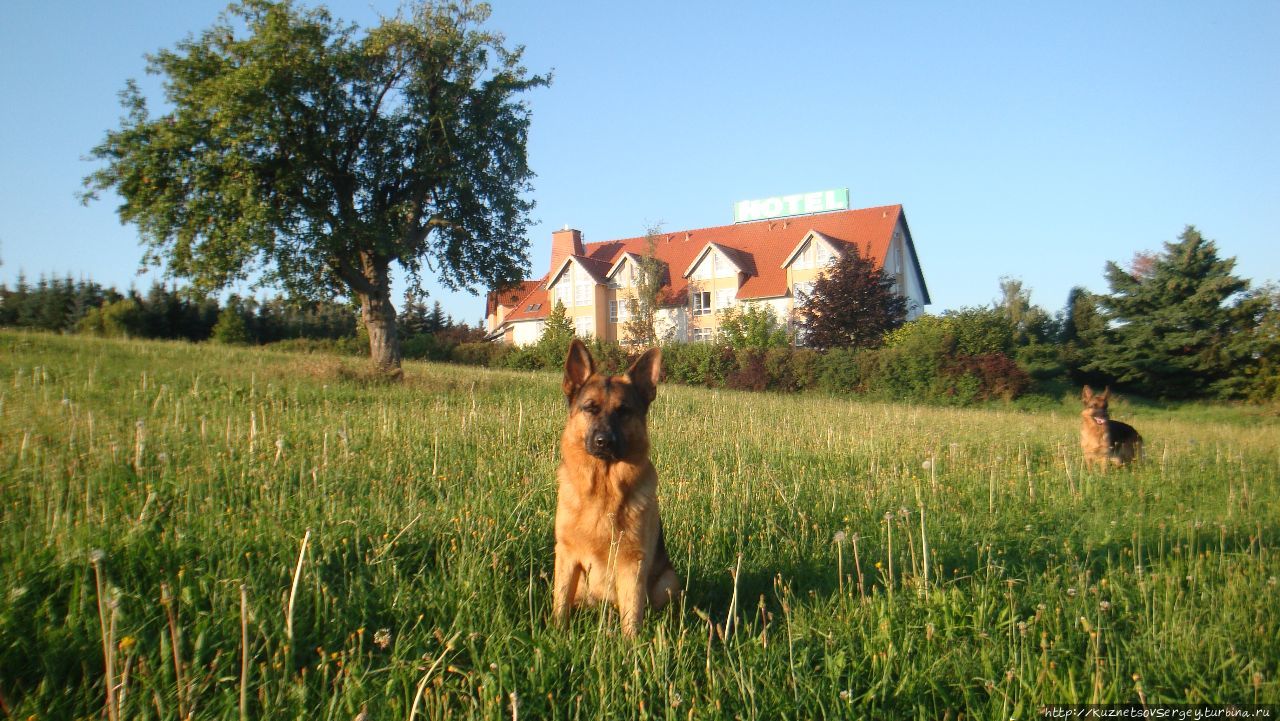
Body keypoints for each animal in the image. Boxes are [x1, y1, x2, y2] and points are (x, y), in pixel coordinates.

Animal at [555, 340, 686, 637]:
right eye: (590, 408)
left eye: (623, 411)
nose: (604, 441)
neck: (603, 489)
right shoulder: (566, 556)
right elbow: (560, 603)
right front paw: (555, 634)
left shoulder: (632, 565)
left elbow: (632, 616)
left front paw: (631, 647)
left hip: (667, 581)